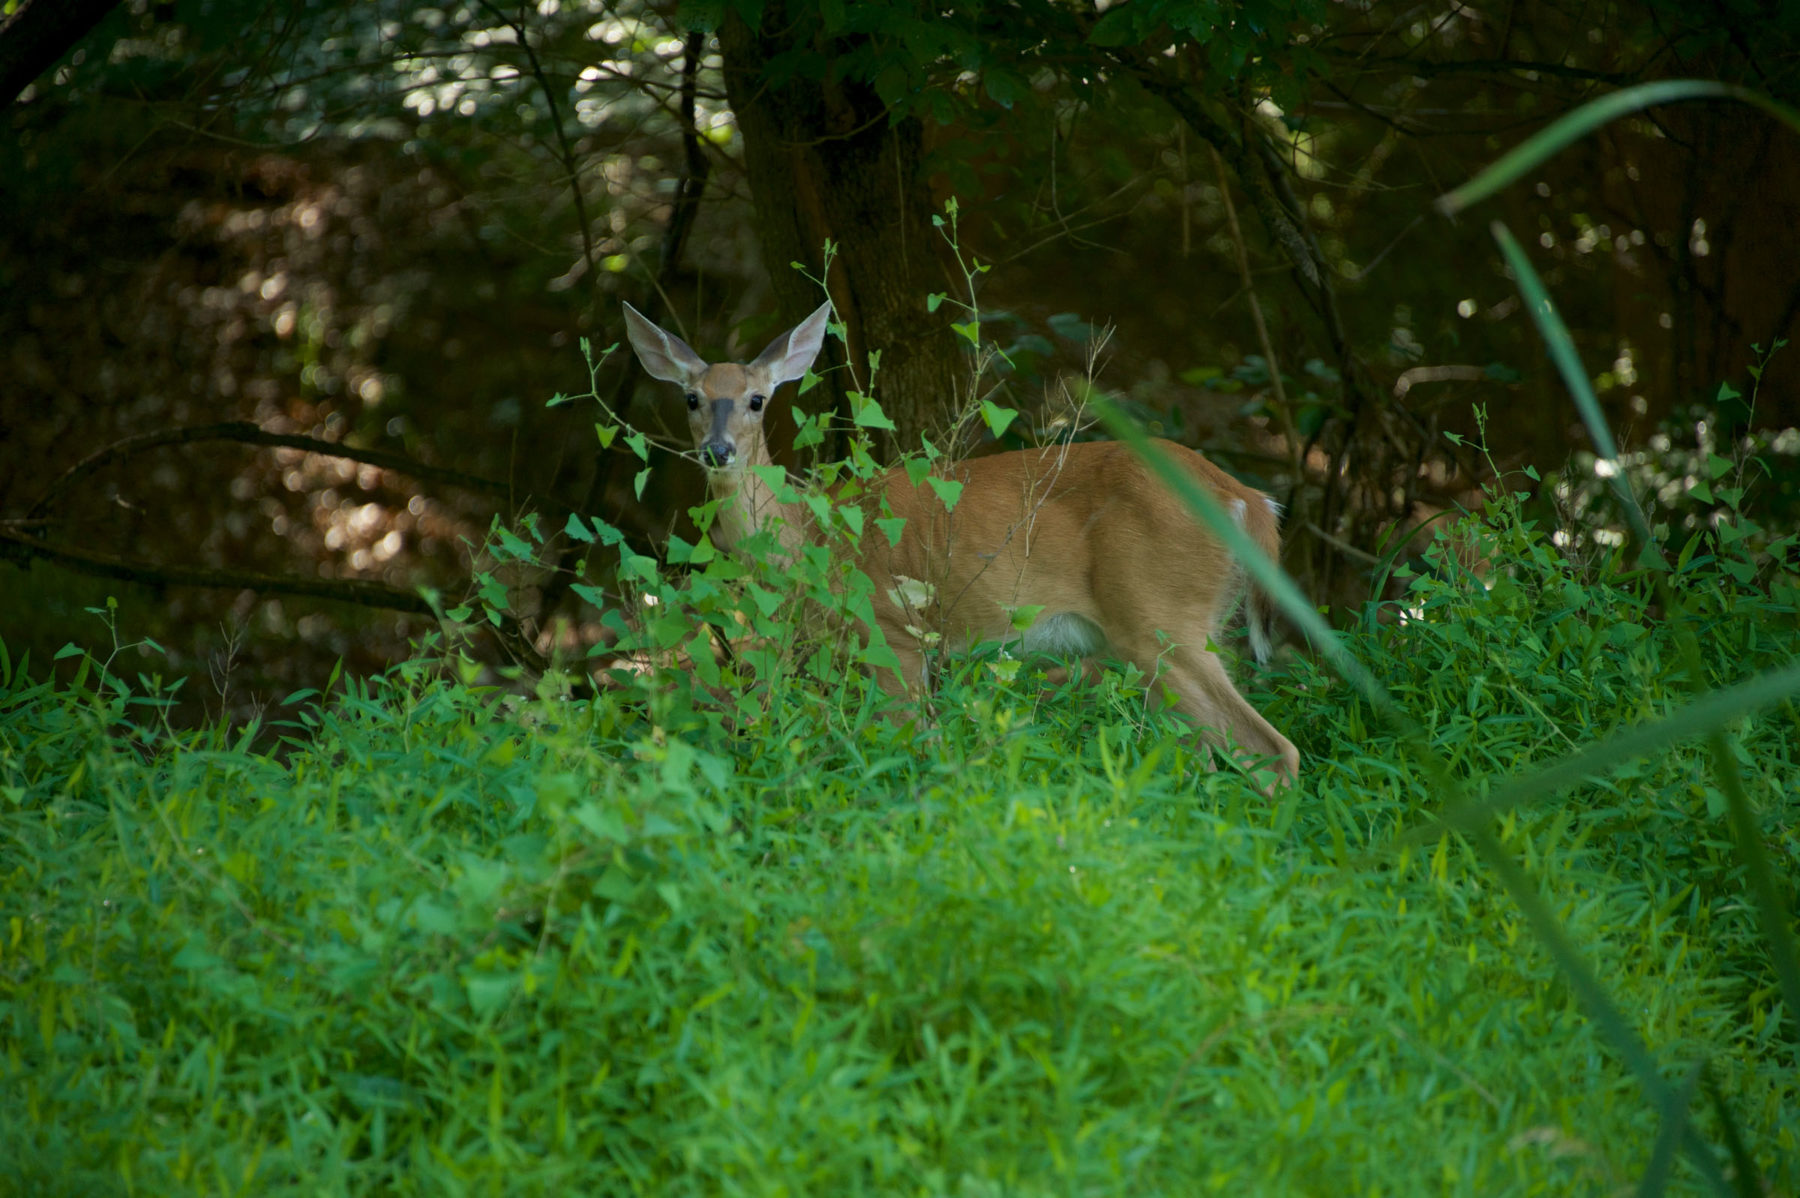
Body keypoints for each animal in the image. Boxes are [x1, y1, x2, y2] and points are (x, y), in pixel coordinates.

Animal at [622, 300, 1300, 787]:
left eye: (757, 400)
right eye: (692, 398)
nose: (717, 450)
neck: (810, 535)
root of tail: (1249, 500)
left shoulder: (892, 632)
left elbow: (913, 741)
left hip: (1159, 618)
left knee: (1274, 750)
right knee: (1209, 753)